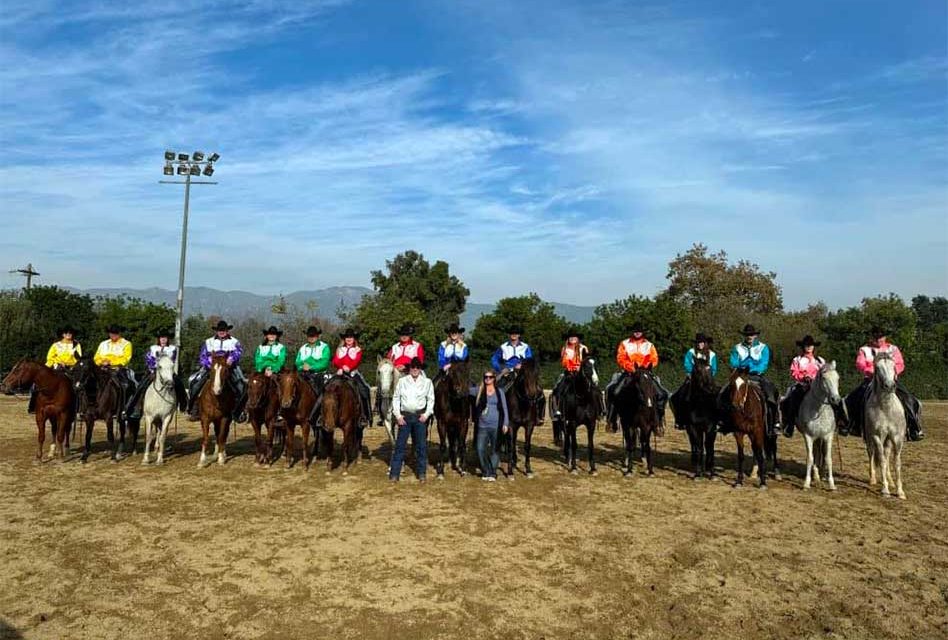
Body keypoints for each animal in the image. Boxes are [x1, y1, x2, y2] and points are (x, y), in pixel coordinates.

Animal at [796, 360, 840, 490]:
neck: (818, 410)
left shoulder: (828, 436)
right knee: (814, 454)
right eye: (824, 378)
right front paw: (806, 483)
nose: (836, 399)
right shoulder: (808, 436)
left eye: (837, 378)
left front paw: (832, 484)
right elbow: (809, 458)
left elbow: (828, 459)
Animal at [864, 350, 908, 500]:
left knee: (887, 455)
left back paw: (890, 481)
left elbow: (897, 463)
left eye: (893, 366)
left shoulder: (897, 438)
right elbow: (882, 461)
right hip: (869, 438)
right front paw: (885, 490)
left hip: (888, 440)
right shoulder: (877, 437)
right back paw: (873, 479)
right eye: (877, 368)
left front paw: (900, 491)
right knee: (872, 454)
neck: (886, 408)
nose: (889, 386)